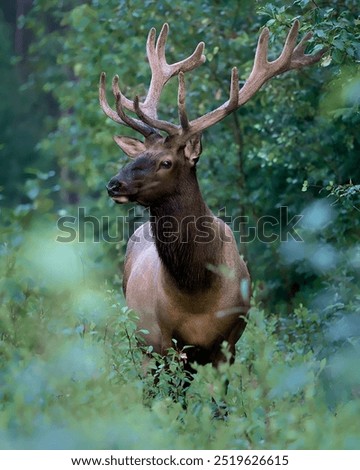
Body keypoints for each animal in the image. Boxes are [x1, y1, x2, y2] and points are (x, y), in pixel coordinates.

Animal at [100, 23, 324, 374]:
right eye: (137, 156)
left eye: (166, 162)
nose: (114, 184)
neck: (196, 292)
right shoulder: (167, 340)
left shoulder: (229, 340)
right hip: (144, 343)